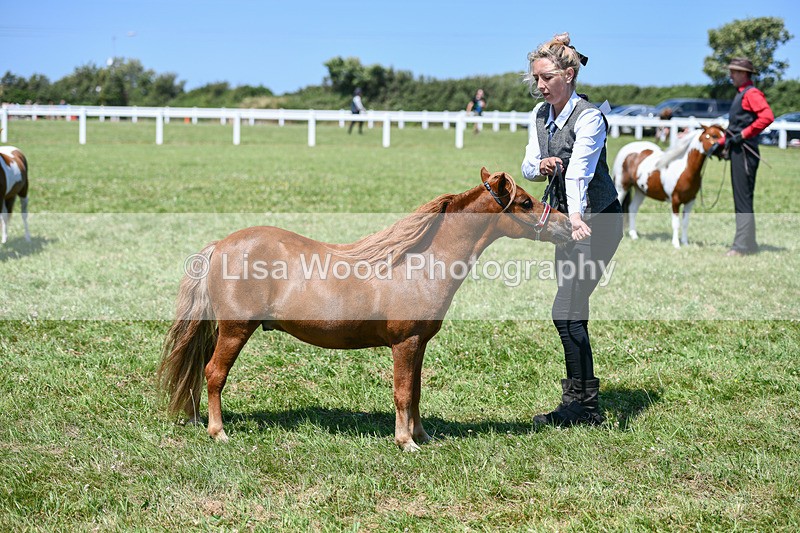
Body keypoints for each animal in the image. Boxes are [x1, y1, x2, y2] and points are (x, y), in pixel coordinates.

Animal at [158, 167, 573, 452]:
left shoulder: (418, 344)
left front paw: (421, 434)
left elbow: (415, 391)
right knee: (214, 374)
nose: (568, 227)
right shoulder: (405, 343)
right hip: (235, 329)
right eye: (524, 202)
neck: (420, 263)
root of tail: (221, 245)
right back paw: (218, 432)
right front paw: (406, 442)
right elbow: (403, 393)